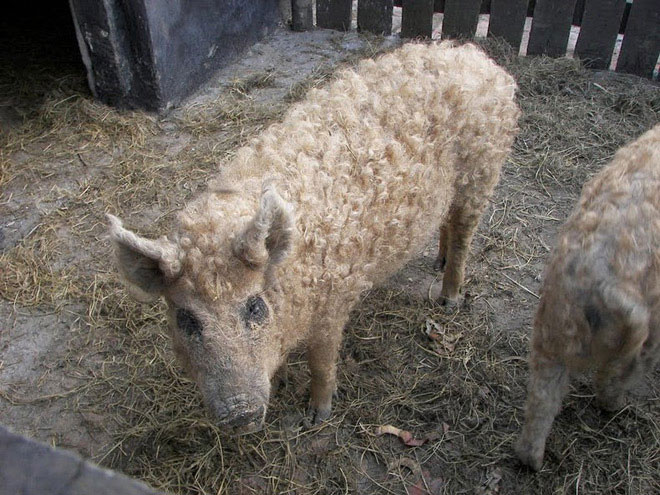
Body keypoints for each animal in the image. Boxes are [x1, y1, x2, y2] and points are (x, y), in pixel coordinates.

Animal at [108, 41, 520, 433]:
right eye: (186, 319)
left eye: (254, 306)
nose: (240, 414)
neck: (292, 273)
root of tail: (478, 59)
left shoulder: (334, 300)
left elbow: (321, 360)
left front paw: (316, 415)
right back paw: (438, 260)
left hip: (482, 175)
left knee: (464, 237)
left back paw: (448, 300)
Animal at [515, 124, 660, 471]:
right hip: (642, 338)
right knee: (614, 380)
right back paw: (617, 408)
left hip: (550, 329)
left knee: (542, 399)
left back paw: (531, 462)